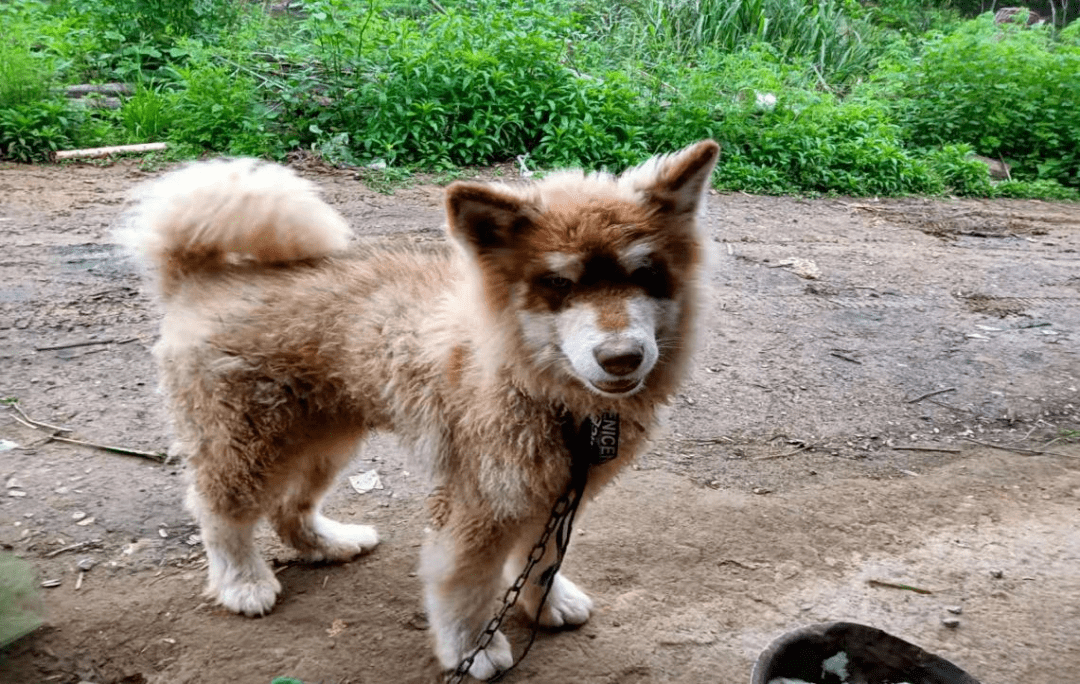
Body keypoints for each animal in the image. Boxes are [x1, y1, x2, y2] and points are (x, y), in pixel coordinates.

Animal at [120, 140, 717, 678]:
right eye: (558, 283)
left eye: (645, 275)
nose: (622, 357)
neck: (540, 389)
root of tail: (203, 277)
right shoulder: (480, 504)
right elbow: (466, 586)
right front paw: (472, 648)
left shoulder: (554, 494)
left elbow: (543, 561)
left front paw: (546, 604)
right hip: (248, 443)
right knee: (221, 512)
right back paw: (242, 582)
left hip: (324, 438)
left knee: (290, 508)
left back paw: (330, 544)